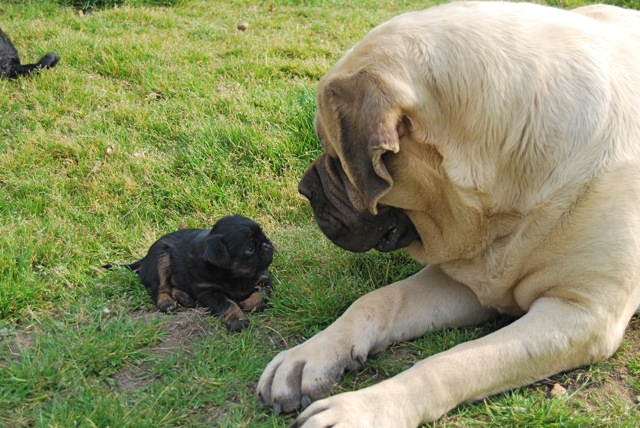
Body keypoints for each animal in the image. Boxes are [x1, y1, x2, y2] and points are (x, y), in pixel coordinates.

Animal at [103, 216, 276, 332]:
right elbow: (227, 303)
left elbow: (264, 292)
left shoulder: (264, 278)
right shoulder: (207, 291)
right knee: (160, 288)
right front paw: (237, 319)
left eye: (264, 238)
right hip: (161, 257)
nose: (268, 245)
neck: (235, 276)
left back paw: (185, 298)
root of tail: (144, 258)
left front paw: (250, 303)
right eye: (250, 249)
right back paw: (168, 303)